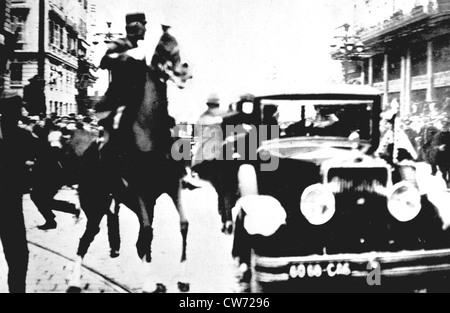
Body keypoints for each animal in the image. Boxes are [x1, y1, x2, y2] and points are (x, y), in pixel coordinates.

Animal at [65, 27, 192, 292]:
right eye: (163, 49)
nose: (184, 71)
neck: (150, 137)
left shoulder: (172, 187)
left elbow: (182, 225)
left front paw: (183, 278)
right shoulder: (140, 193)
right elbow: (145, 233)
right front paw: (148, 283)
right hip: (97, 204)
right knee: (86, 238)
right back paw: (74, 279)